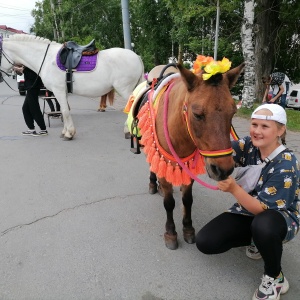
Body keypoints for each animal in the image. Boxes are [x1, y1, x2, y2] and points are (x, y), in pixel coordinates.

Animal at [0, 34, 145, 140]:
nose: (1, 77)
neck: (46, 58)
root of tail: (137, 56)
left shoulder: (58, 90)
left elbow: (65, 111)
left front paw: (69, 134)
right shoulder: (62, 92)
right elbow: (64, 111)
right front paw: (65, 131)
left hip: (125, 89)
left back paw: (128, 131)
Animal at [137, 62, 245, 250]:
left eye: (232, 112)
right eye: (197, 114)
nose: (223, 169)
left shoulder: (189, 168)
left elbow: (187, 200)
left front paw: (188, 228)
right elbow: (169, 203)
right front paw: (171, 233)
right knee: (153, 165)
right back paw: (153, 184)